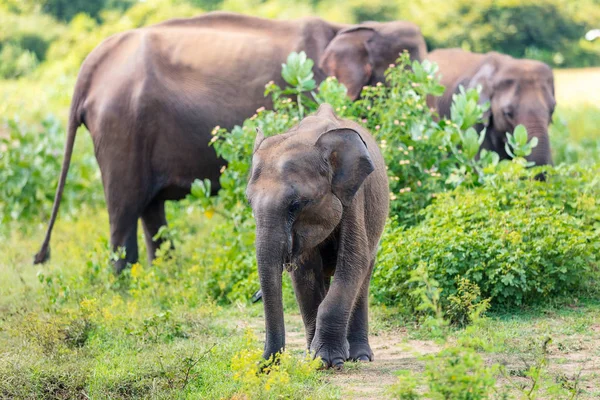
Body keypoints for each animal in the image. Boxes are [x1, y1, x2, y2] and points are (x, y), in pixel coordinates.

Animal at [34, 10, 426, 274]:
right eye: (408, 73)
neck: (350, 28)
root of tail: (92, 63)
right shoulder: (309, 89)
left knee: (149, 209)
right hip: (122, 127)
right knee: (125, 210)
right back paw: (126, 288)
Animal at [245, 104, 390, 368]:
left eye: (295, 205)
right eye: (250, 203)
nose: (263, 367)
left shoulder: (354, 196)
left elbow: (354, 262)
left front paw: (329, 361)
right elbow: (306, 273)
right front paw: (315, 362)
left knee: (363, 277)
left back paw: (360, 357)